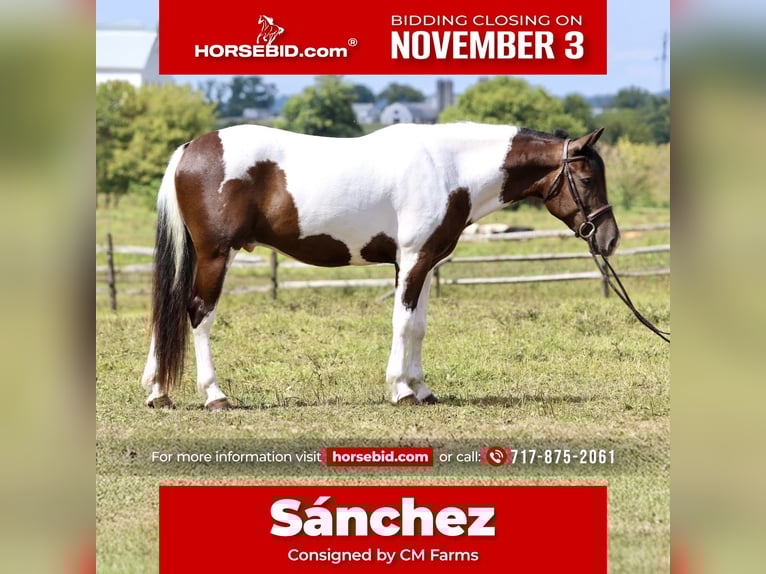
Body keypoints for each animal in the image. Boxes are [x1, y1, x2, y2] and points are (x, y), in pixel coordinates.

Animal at [140, 122, 619, 410]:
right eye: (587, 178)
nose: (610, 238)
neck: (449, 169)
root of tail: (191, 147)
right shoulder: (411, 260)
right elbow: (402, 323)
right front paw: (400, 389)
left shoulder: (424, 263)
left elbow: (419, 326)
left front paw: (422, 388)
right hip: (216, 255)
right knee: (198, 313)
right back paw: (214, 395)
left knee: (170, 310)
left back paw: (158, 392)